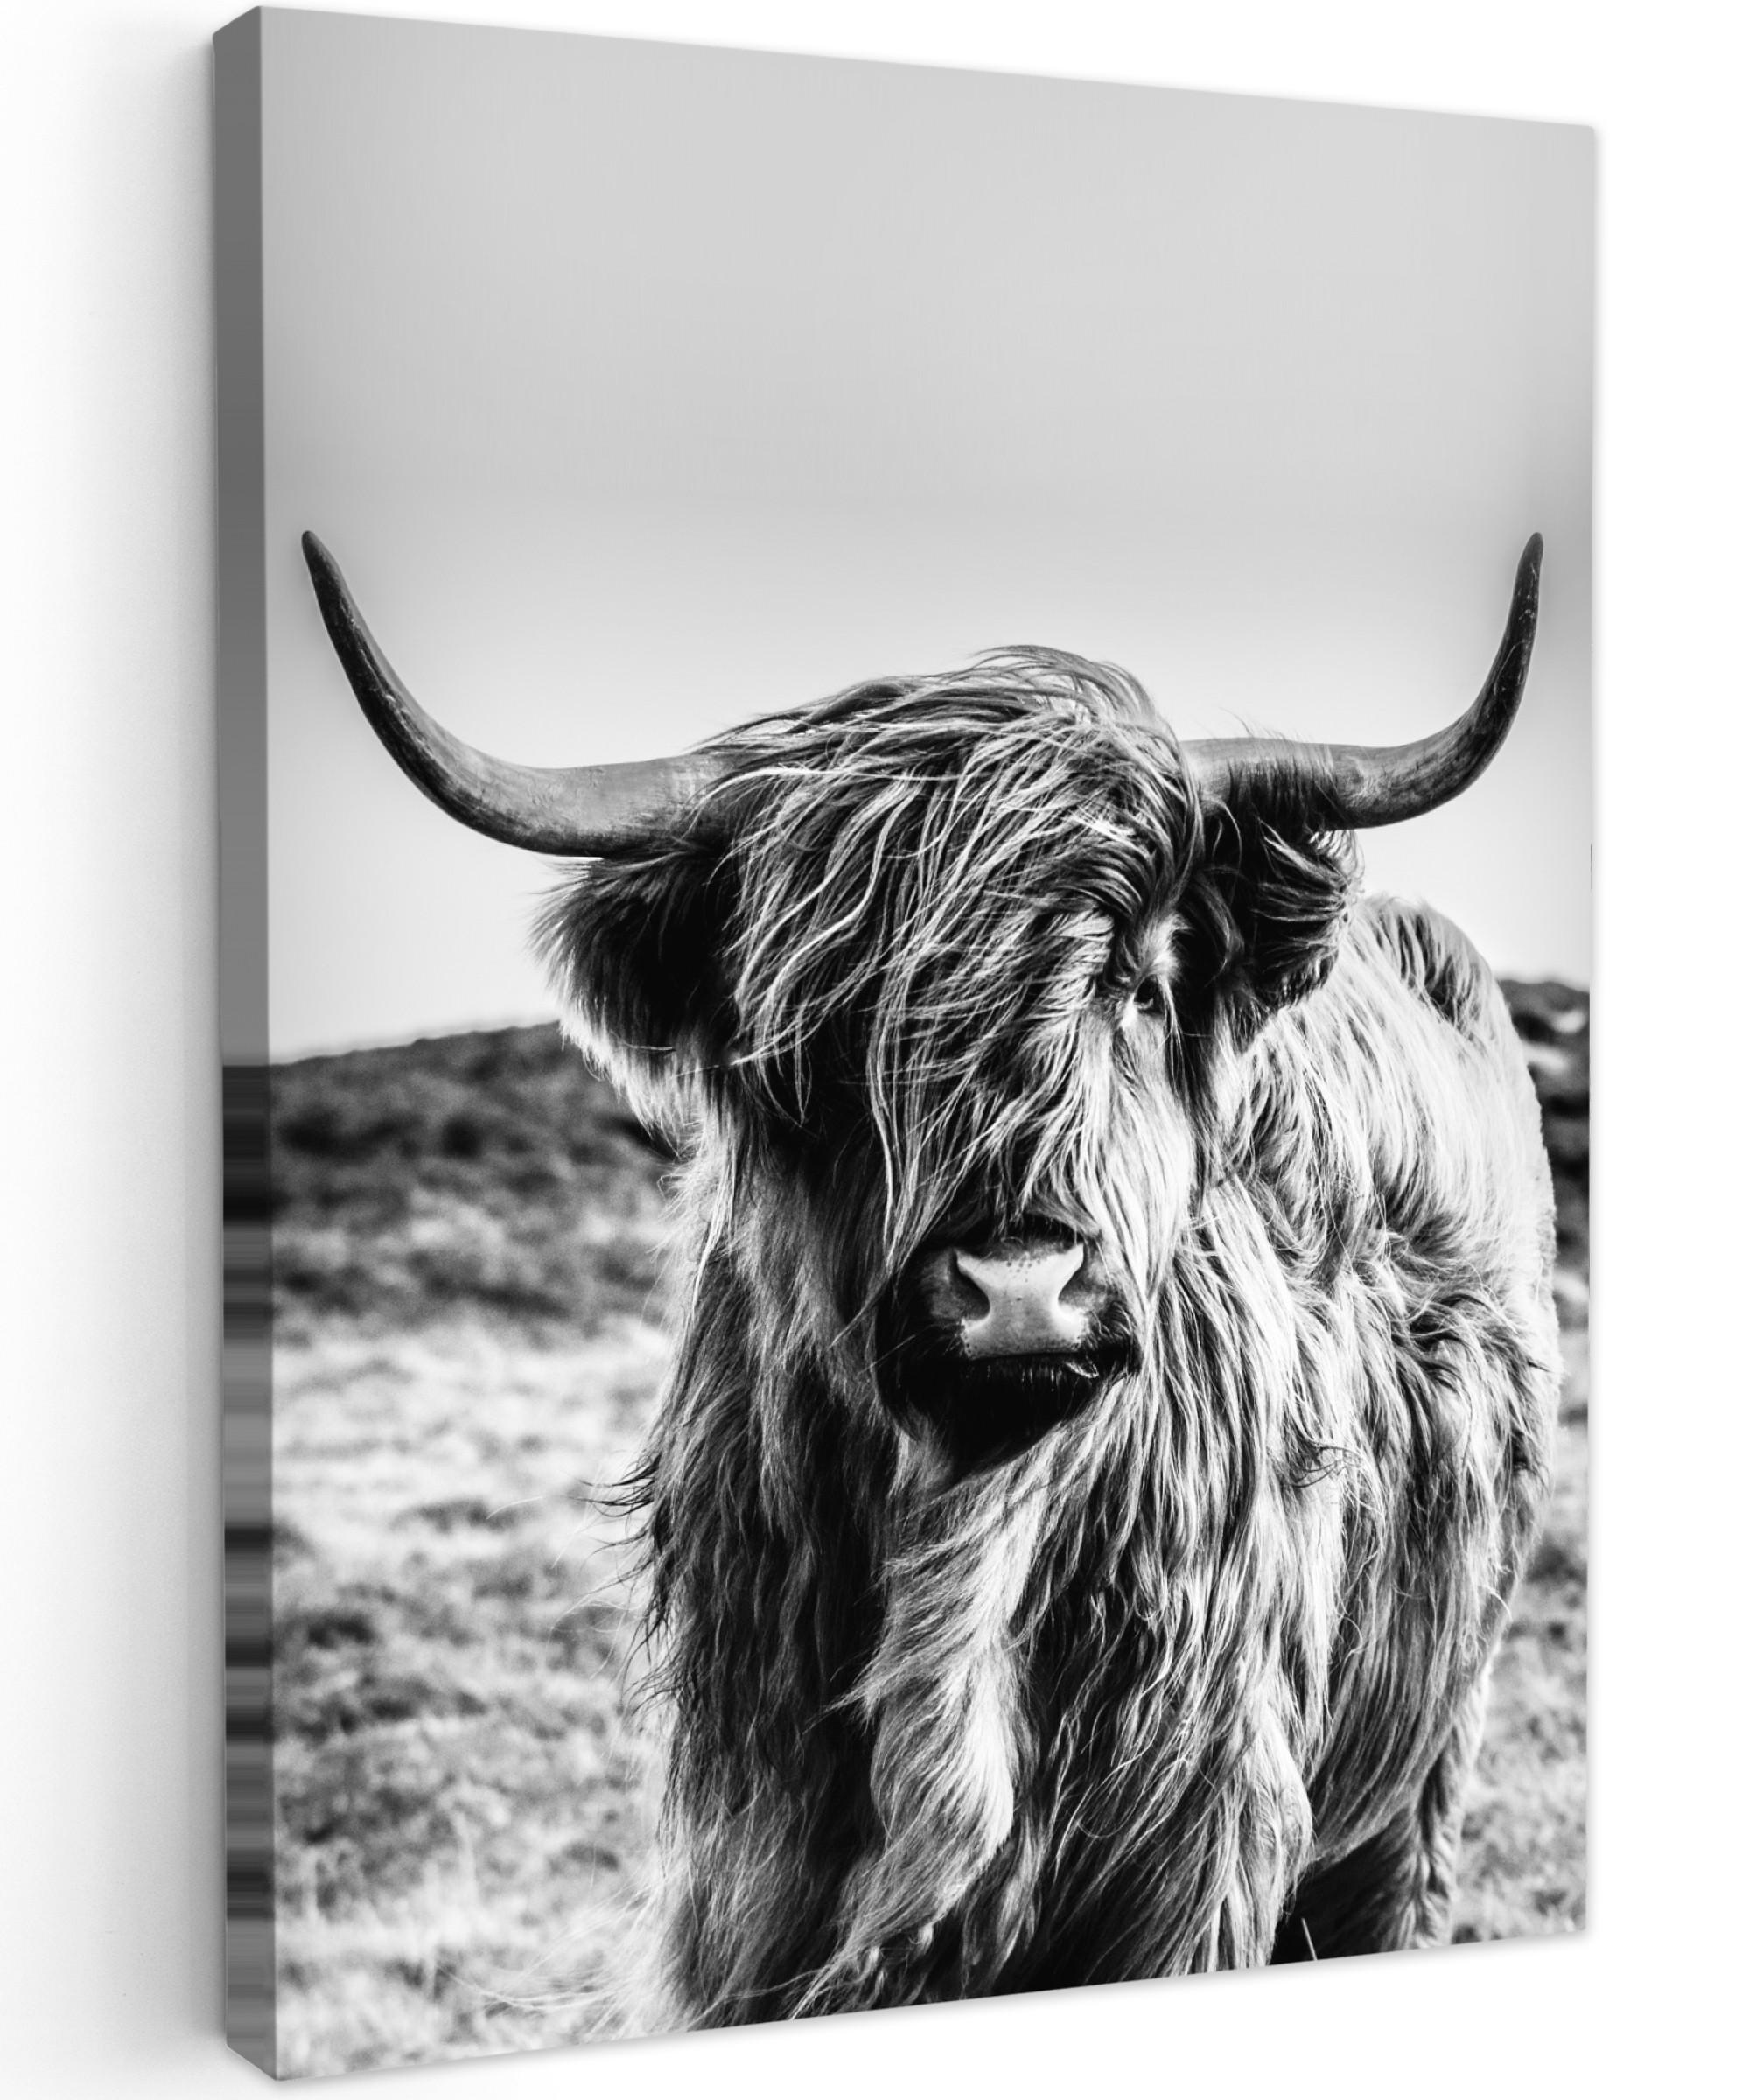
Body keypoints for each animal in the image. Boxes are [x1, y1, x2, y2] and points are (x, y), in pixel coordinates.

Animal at [302, 530, 1560, 2024]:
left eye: (1136, 981)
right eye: (824, 1029)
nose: (1020, 1283)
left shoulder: (1196, 1852)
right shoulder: (752, 1868)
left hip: (1423, 1771)